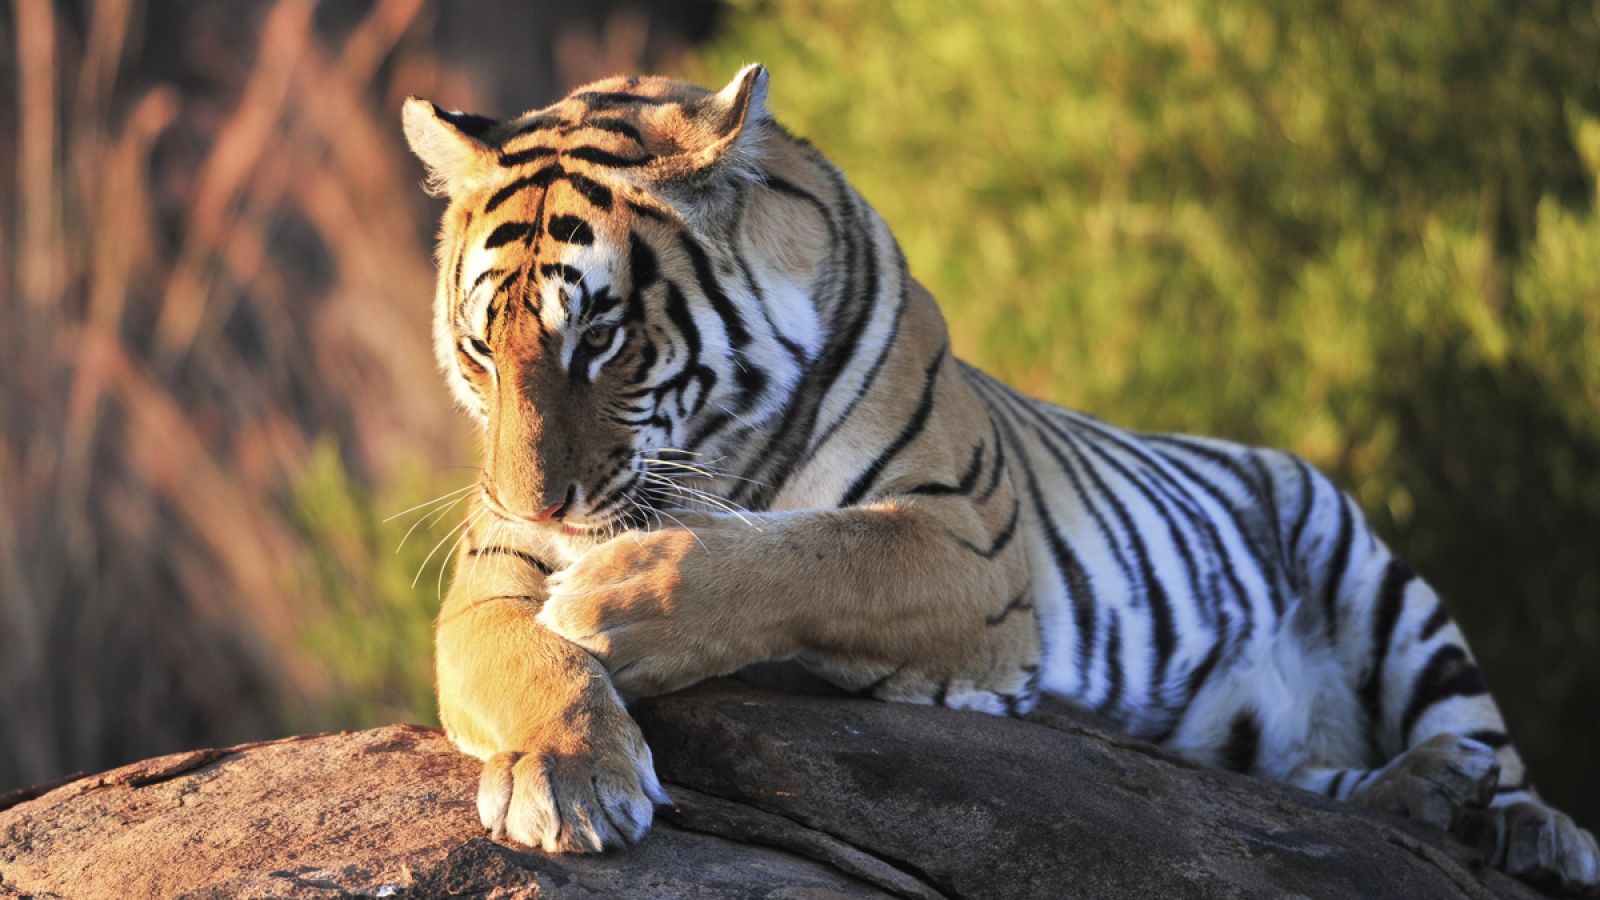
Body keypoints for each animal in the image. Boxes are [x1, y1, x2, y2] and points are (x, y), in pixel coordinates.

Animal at [400, 64, 1599, 890]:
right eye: (480, 350)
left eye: (599, 340)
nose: (533, 501)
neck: (715, 446)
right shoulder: (491, 573)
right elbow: (521, 654)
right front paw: (569, 774)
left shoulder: (968, 543)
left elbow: (808, 555)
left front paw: (615, 606)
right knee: (1308, 782)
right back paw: (1433, 793)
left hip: (1375, 574)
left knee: (1487, 739)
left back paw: (1525, 824)